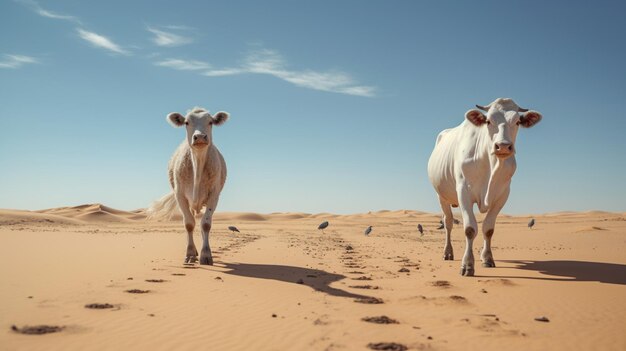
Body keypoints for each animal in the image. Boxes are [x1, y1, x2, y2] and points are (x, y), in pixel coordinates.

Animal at [147, 106, 229, 266]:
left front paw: (206, 255)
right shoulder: (180, 195)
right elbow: (189, 224)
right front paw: (190, 253)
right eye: (186, 122)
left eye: (210, 122)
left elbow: (206, 224)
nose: (200, 137)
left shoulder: (214, 195)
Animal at [424, 97, 540, 276]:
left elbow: (488, 229)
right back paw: (448, 252)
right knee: (448, 223)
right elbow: (470, 229)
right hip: (441, 196)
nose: (503, 146)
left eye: (517, 122)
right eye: (488, 121)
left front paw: (487, 258)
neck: (491, 165)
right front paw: (467, 265)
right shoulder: (463, 191)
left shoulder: (503, 194)